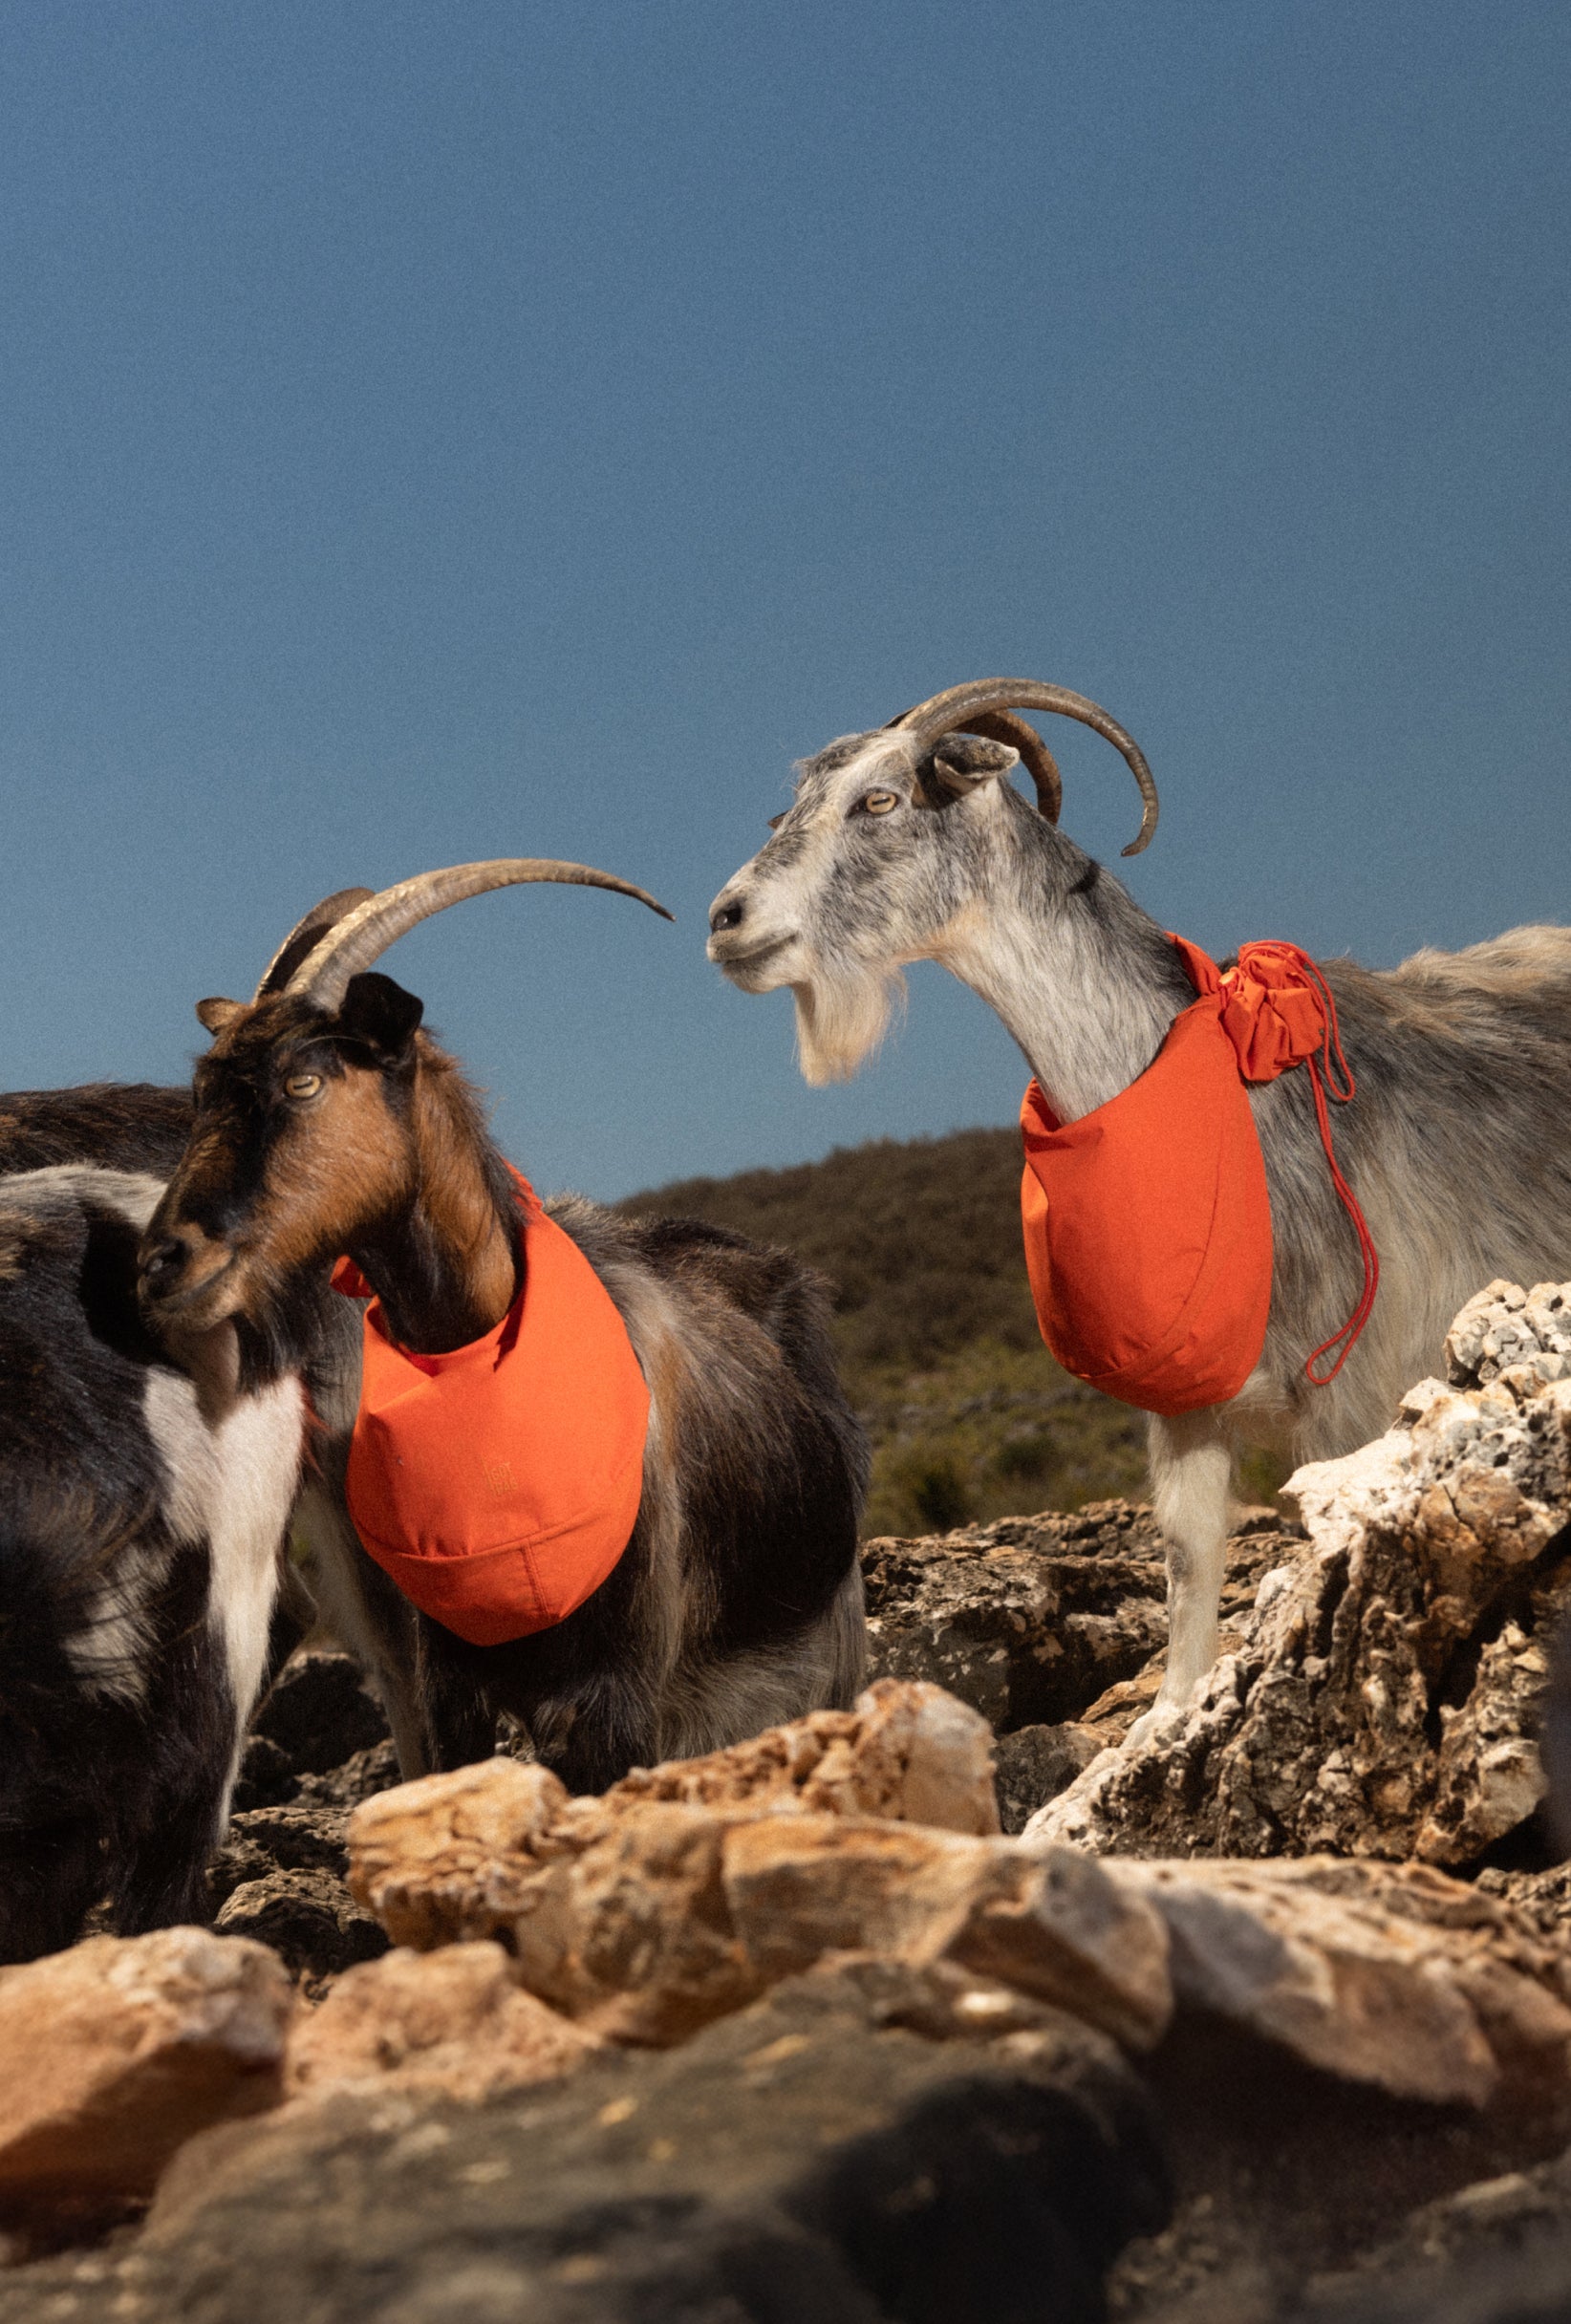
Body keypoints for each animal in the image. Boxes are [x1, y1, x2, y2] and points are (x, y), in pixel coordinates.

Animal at [139, 858, 869, 1793]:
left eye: (304, 1080)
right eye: (201, 1095)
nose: (163, 1262)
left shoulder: (620, 1697)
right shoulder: (451, 1683)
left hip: (819, 1657)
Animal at [706, 676, 1571, 1730]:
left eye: (881, 799)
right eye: (788, 807)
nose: (727, 918)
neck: (1205, 1094)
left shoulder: (1355, 1383)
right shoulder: (1185, 1406)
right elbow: (1189, 1553)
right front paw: (1173, 1711)